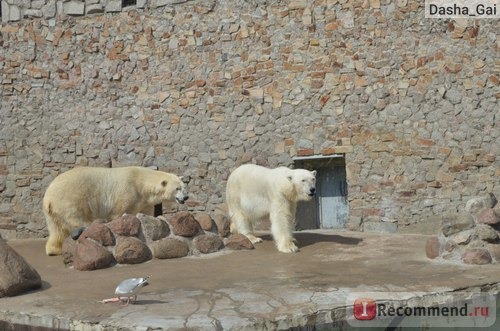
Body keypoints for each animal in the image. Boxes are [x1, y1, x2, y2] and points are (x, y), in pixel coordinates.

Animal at [42, 166, 188, 256]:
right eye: (177, 188)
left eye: (184, 187)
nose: (186, 197)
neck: (142, 183)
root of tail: (48, 198)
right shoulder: (128, 192)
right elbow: (119, 212)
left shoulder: (144, 201)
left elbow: (146, 214)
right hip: (70, 200)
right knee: (78, 218)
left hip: (53, 213)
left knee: (57, 230)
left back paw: (54, 250)